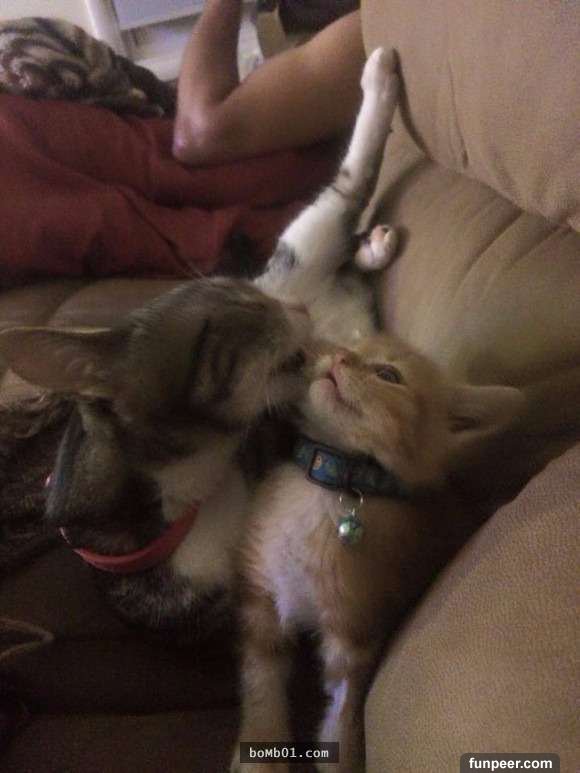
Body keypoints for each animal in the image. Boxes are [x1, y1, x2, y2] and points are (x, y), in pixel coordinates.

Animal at [230, 49, 524, 772]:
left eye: (388, 375)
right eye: (339, 360)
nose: (330, 356)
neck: (335, 476)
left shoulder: (356, 640)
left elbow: (343, 723)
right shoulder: (260, 608)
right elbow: (262, 701)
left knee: (348, 212)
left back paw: (378, 239)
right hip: (307, 249)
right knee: (348, 183)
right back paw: (381, 79)